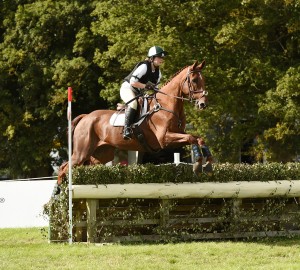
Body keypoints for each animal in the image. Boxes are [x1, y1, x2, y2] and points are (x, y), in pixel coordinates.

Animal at [57, 59, 209, 186]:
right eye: (194, 80)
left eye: (203, 80)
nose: (203, 104)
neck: (167, 104)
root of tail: (86, 117)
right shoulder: (164, 139)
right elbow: (191, 138)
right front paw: (198, 164)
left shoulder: (178, 134)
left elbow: (198, 138)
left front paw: (206, 162)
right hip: (82, 151)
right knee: (64, 167)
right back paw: (60, 192)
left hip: (102, 154)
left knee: (81, 165)